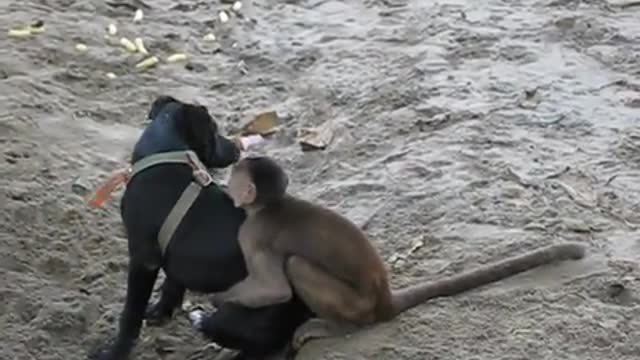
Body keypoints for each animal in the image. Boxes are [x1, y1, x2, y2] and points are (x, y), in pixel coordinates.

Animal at [93, 96, 312, 360]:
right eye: (214, 130)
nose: (237, 149)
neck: (165, 154)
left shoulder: (144, 261)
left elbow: (130, 314)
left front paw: (115, 352)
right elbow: (172, 285)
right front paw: (161, 312)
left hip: (233, 313)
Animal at [209, 156, 584, 350]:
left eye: (235, 175)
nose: (227, 179)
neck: (270, 205)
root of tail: (384, 298)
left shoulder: (250, 234)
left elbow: (275, 290)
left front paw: (217, 301)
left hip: (357, 305)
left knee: (298, 265)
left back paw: (338, 327)